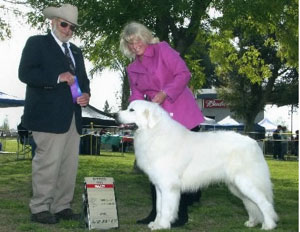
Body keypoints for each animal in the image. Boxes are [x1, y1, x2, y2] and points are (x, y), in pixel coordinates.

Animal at [116, 99, 278, 230]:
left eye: (132, 110)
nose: (114, 115)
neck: (154, 133)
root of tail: (254, 143)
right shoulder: (159, 186)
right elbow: (159, 207)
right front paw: (156, 223)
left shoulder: (168, 186)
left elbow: (166, 208)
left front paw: (163, 225)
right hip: (237, 186)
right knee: (251, 203)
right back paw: (252, 222)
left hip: (246, 182)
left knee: (264, 203)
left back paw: (268, 225)